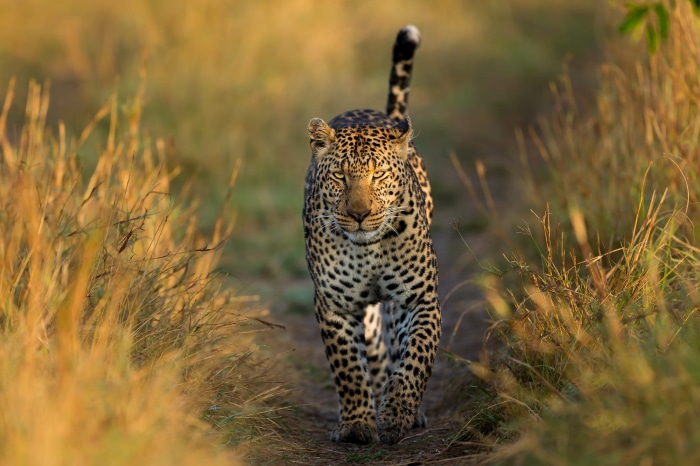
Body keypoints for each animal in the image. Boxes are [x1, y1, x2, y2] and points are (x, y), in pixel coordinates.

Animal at [303, 25, 441, 445]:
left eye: (378, 175)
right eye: (339, 176)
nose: (360, 215)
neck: (369, 251)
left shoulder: (419, 299)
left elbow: (415, 358)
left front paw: (397, 414)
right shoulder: (335, 306)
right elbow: (348, 368)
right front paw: (357, 424)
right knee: (377, 356)